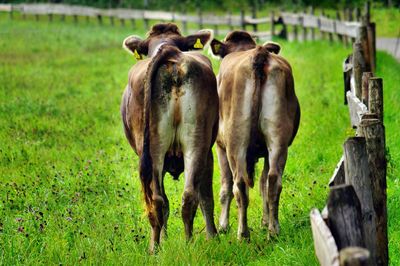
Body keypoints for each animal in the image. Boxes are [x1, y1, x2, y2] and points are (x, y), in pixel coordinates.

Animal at [121, 22, 219, 251]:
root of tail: (169, 51)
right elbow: (201, 197)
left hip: (156, 148)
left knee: (161, 200)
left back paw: (155, 247)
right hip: (194, 142)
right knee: (185, 196)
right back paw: (186, 243)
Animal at [209, 30, 300, 239]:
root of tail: (260, 54)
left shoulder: (220, 146)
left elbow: (225, 186)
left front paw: (223, 226)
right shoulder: (265, 151)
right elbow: (262, 183)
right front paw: (265, 222)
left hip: (235, 142)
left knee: (239, 184)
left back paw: (243, 234)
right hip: (278, 138)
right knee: (273, 180)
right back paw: (273, 231)